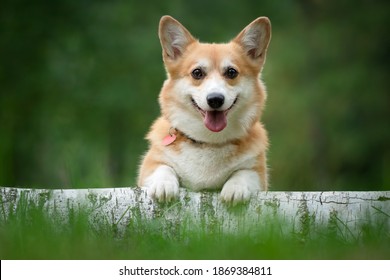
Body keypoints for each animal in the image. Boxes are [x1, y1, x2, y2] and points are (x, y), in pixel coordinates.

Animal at [138, 15, 272, 203]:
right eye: (197, 73)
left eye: (231, 72)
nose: (215, 99)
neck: (209, 141)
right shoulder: (151, 164)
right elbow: (163, 168)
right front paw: (163, 185)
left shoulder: (257, 173)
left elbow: (243, 173)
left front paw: (235, 189)